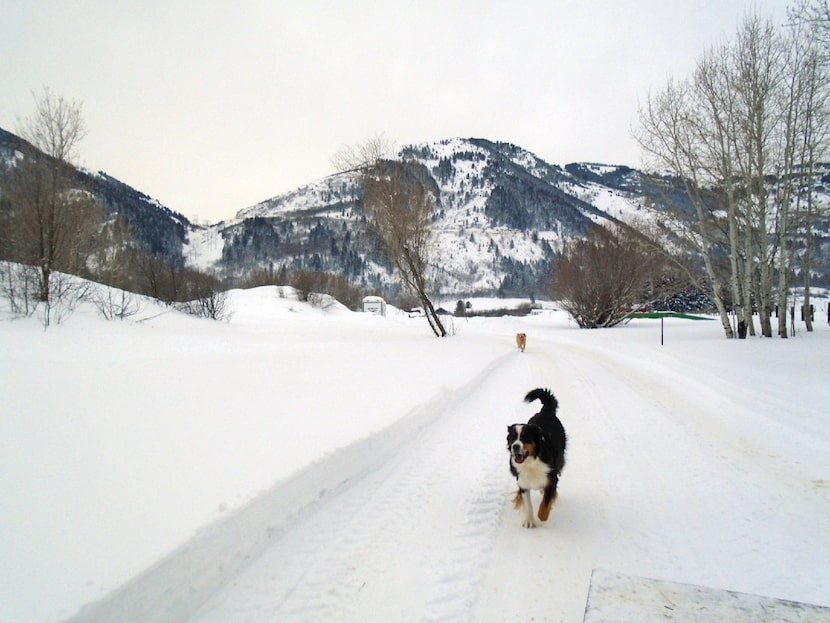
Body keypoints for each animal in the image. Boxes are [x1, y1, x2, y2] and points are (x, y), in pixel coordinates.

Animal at [504, 388, 568, 528]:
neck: (532, 462)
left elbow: (546, 502)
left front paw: (542, 516)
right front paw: (529, 521)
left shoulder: (551, 478)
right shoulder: (523, 482)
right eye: (512, 438)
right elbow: (528, 505)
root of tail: (546, 412)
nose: (515, 446)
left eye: (525, 438)